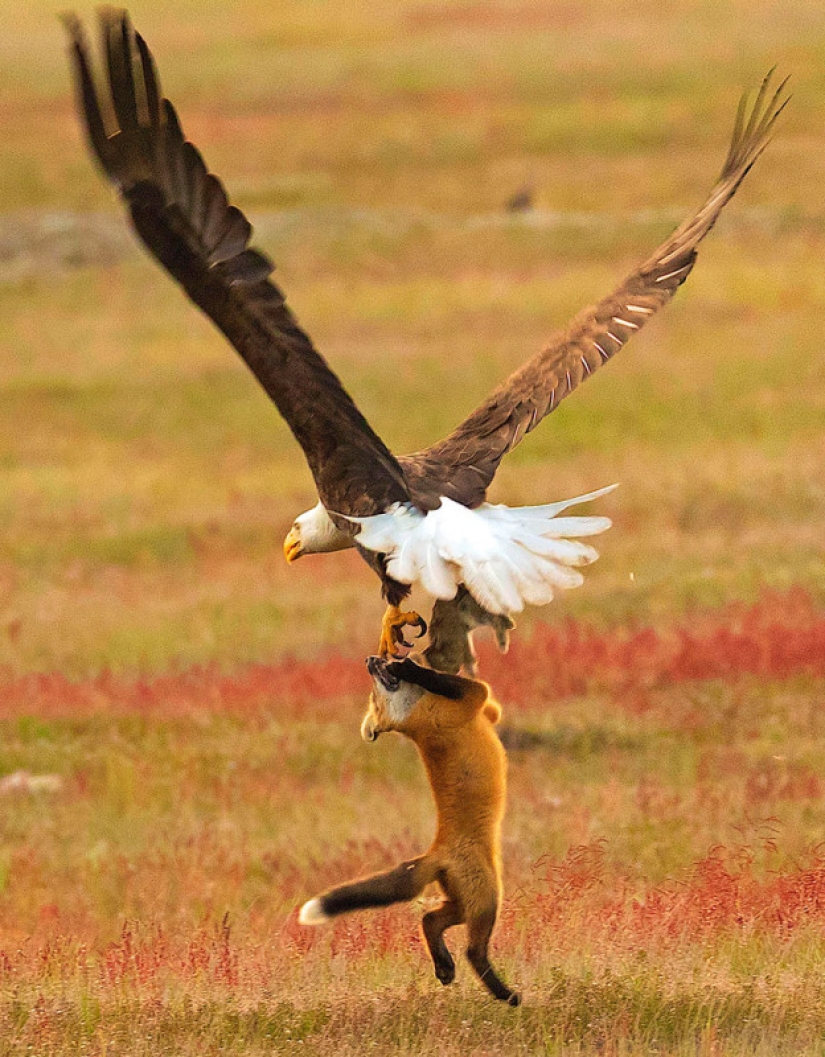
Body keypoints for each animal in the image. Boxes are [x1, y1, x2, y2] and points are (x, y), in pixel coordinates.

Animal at [299, 655, 520, 1006]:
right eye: (374, 697)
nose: (371, 659)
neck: (418, 716)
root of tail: (436, 851)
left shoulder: (484, 709)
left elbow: (490, 706)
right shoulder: (469, 699)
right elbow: (460, 683)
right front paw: (410, 667)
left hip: (463, 903)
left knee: (429, 920)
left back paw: (444, 966)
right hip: (487, 898)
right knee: (473, 951)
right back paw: (504, 993)